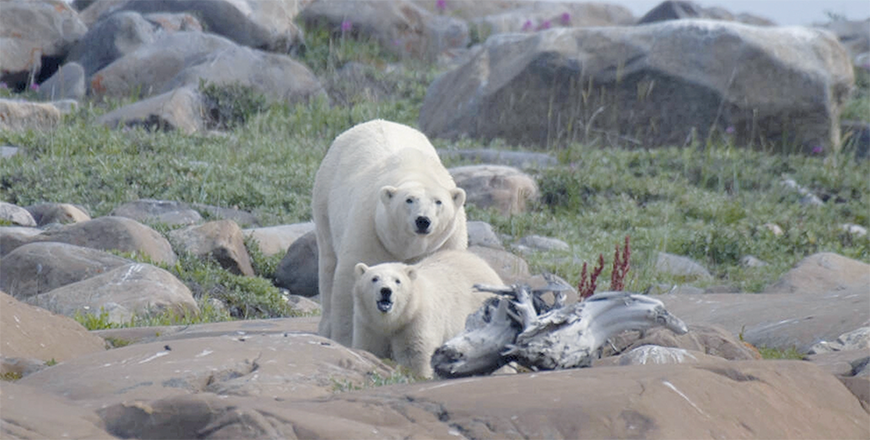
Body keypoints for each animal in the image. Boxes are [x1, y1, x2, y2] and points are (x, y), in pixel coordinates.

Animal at [310, 120, 466, 348]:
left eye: (438, 202)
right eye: (409, 200)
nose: (423, 220)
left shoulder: (448, 240)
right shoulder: (369, 229)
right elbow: (351, 281)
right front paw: (347, 342)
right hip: (325, 198)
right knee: (328, 264)